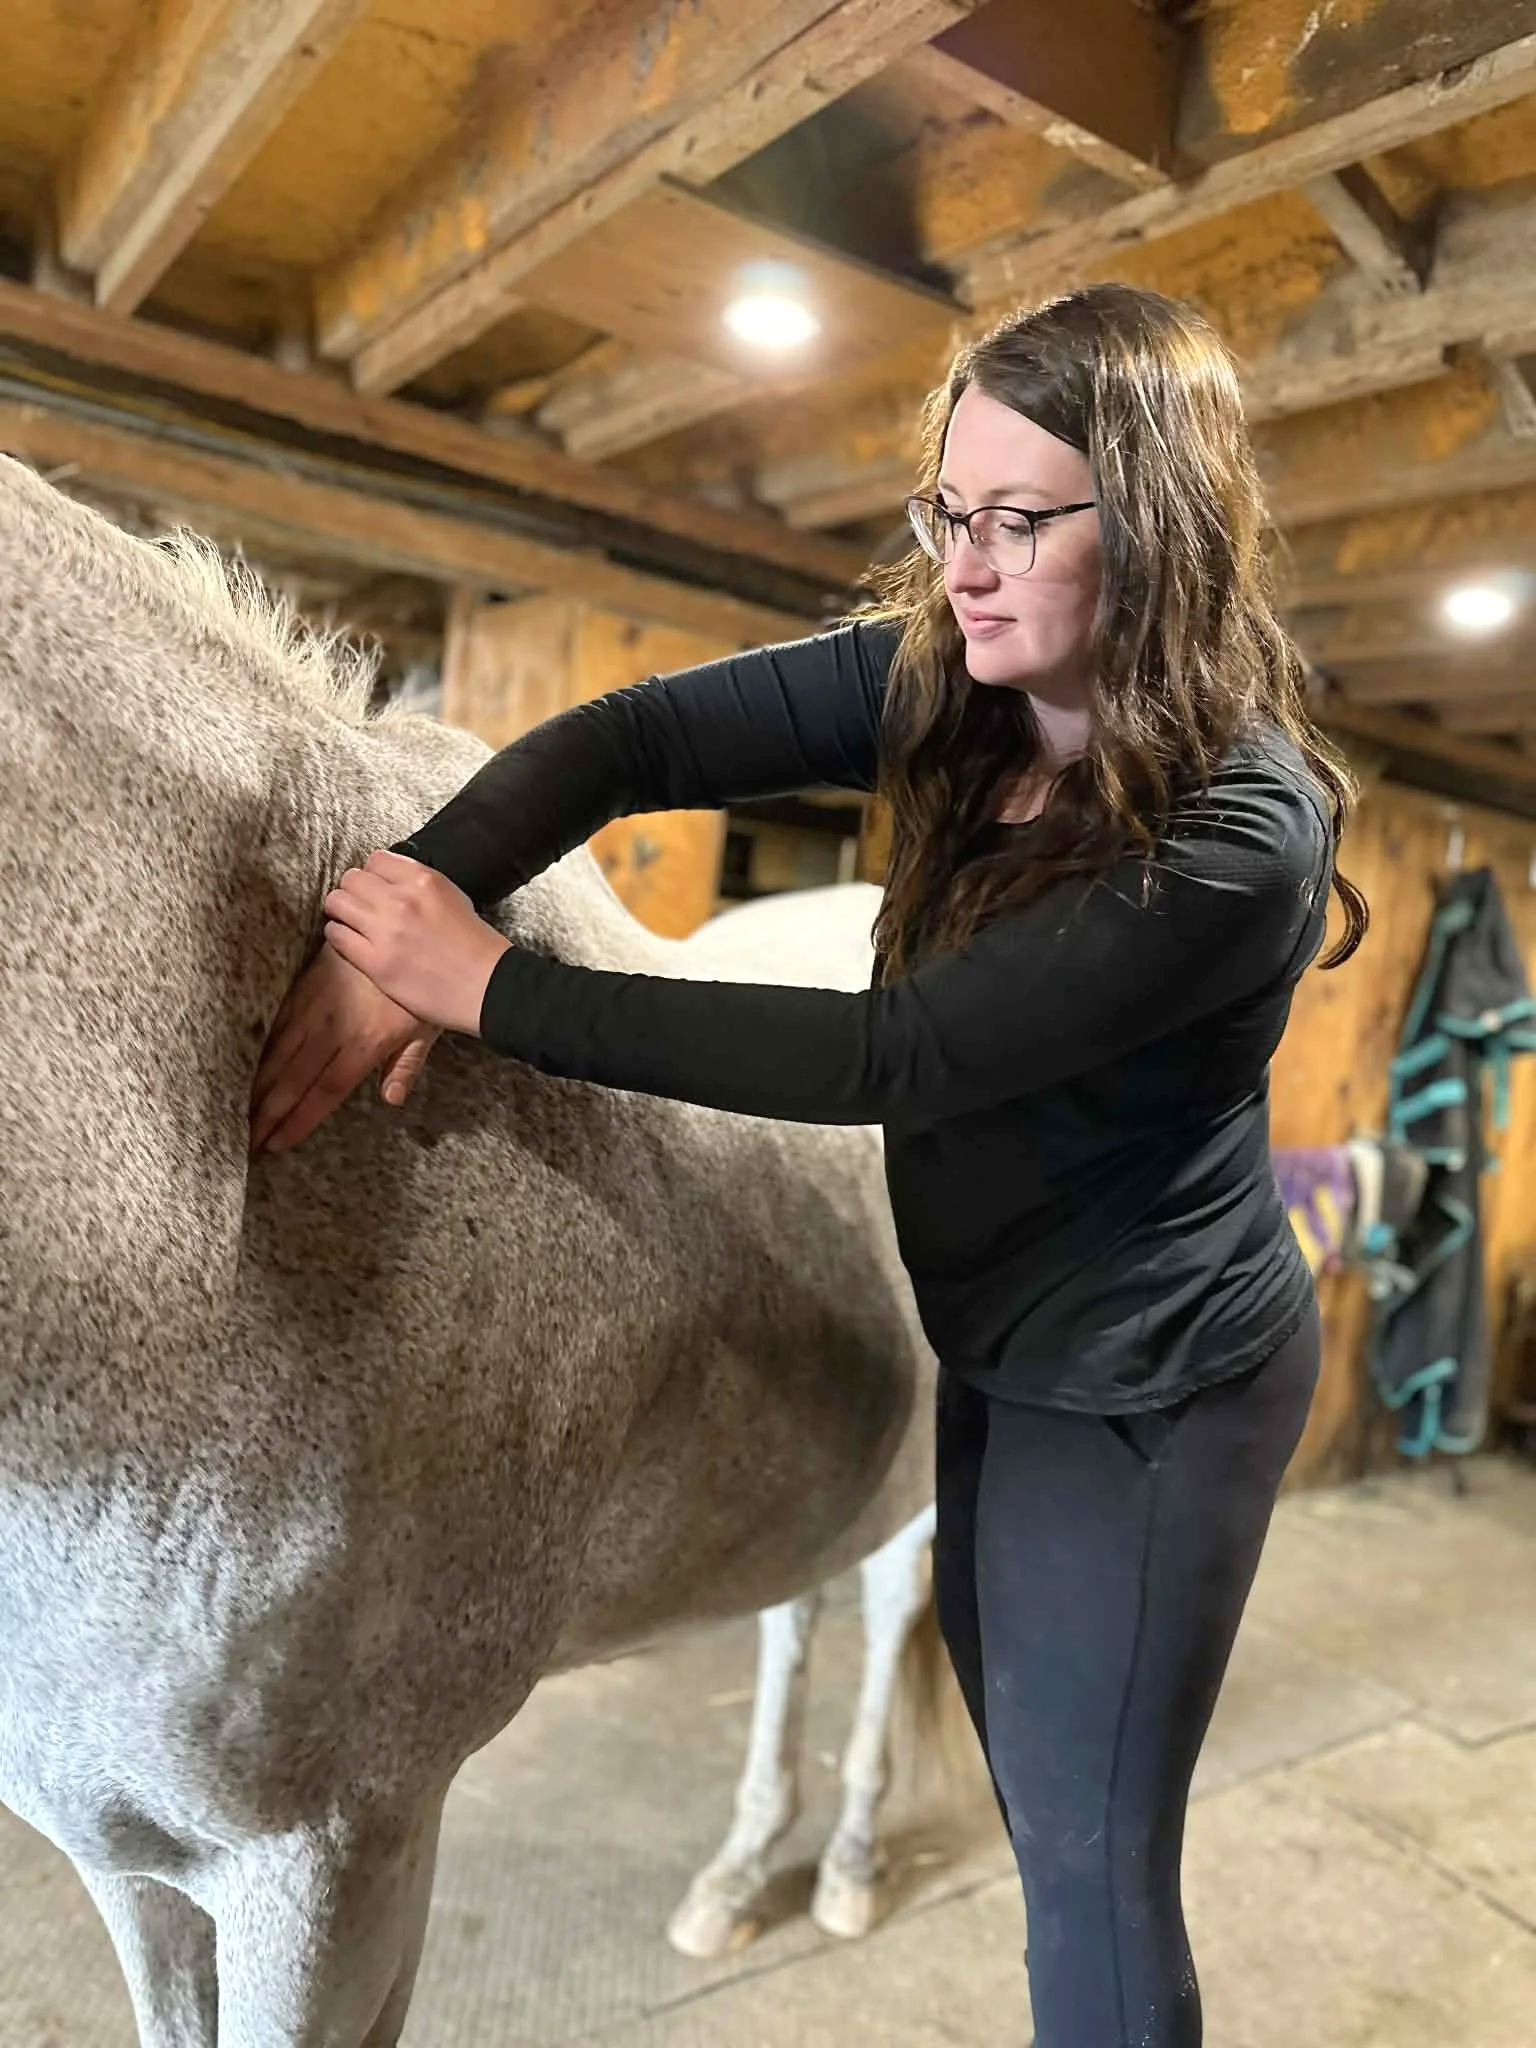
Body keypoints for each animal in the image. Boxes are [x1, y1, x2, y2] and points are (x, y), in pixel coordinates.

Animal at [0, 453, 938, 2047]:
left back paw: (852, 1863)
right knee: (798, 1611)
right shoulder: (125, 1855)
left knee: (882, 1621)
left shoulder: (339, 1855)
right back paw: (739, 1871)